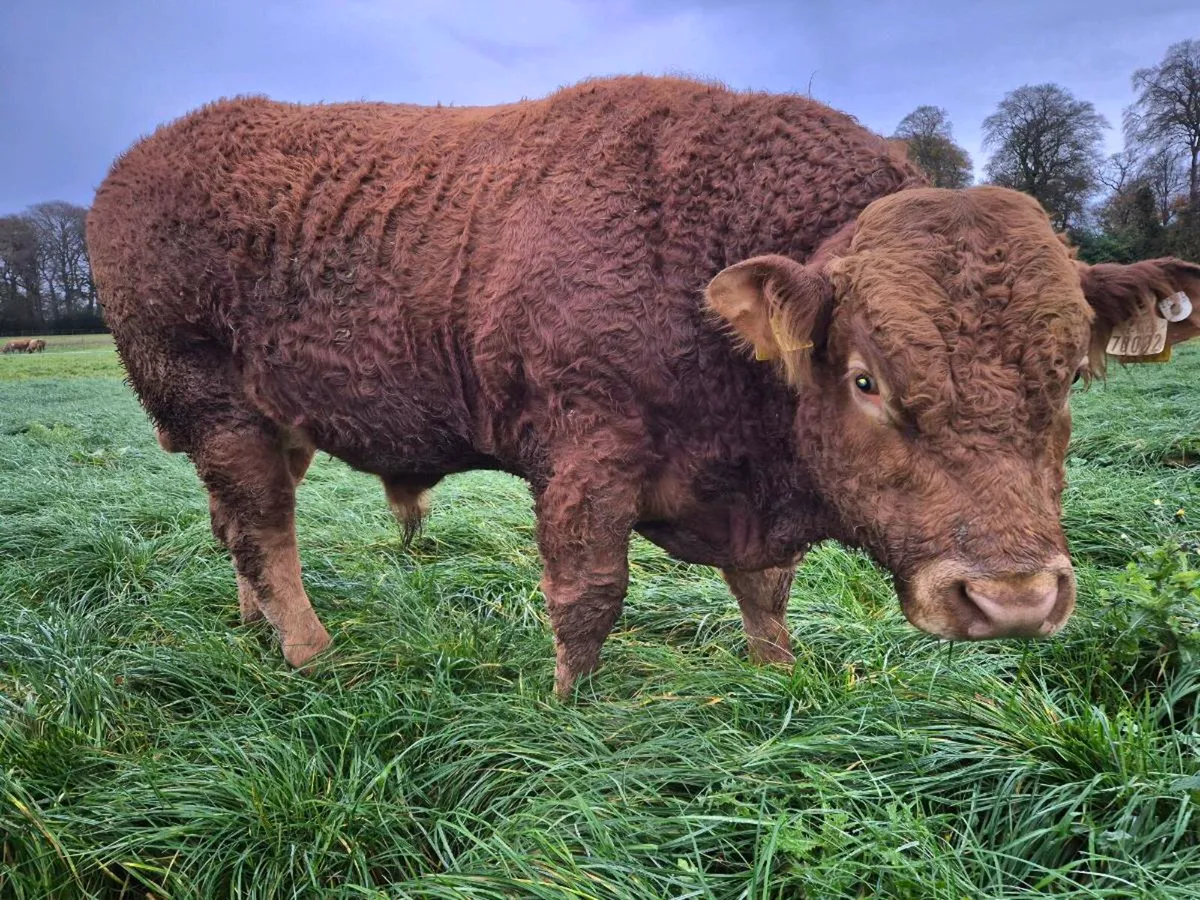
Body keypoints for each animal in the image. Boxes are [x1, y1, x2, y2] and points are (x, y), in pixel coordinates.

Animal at [85, 76, 1200, 696]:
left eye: (1071, 373)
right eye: (867, 379)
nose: (1012, 600)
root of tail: (131, 169)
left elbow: (765, 590)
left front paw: (778, 674)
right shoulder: (586, 453)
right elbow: (589, 596)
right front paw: (569, 710)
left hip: (270, 424)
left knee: (236, 526)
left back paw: (255, 628)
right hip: (214, 409)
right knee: (265, 529)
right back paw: (308, 650)